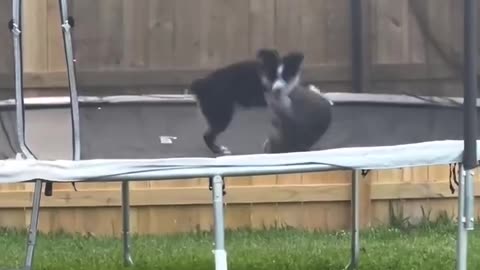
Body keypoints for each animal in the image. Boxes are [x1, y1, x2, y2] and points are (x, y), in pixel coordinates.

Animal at [189, 48, 332, 154]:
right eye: (273, 76)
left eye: (285, 76)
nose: (277, 89)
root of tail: (202, 84)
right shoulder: (273, 97)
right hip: (221, 114)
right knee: (207, 136)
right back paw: (219, 150)